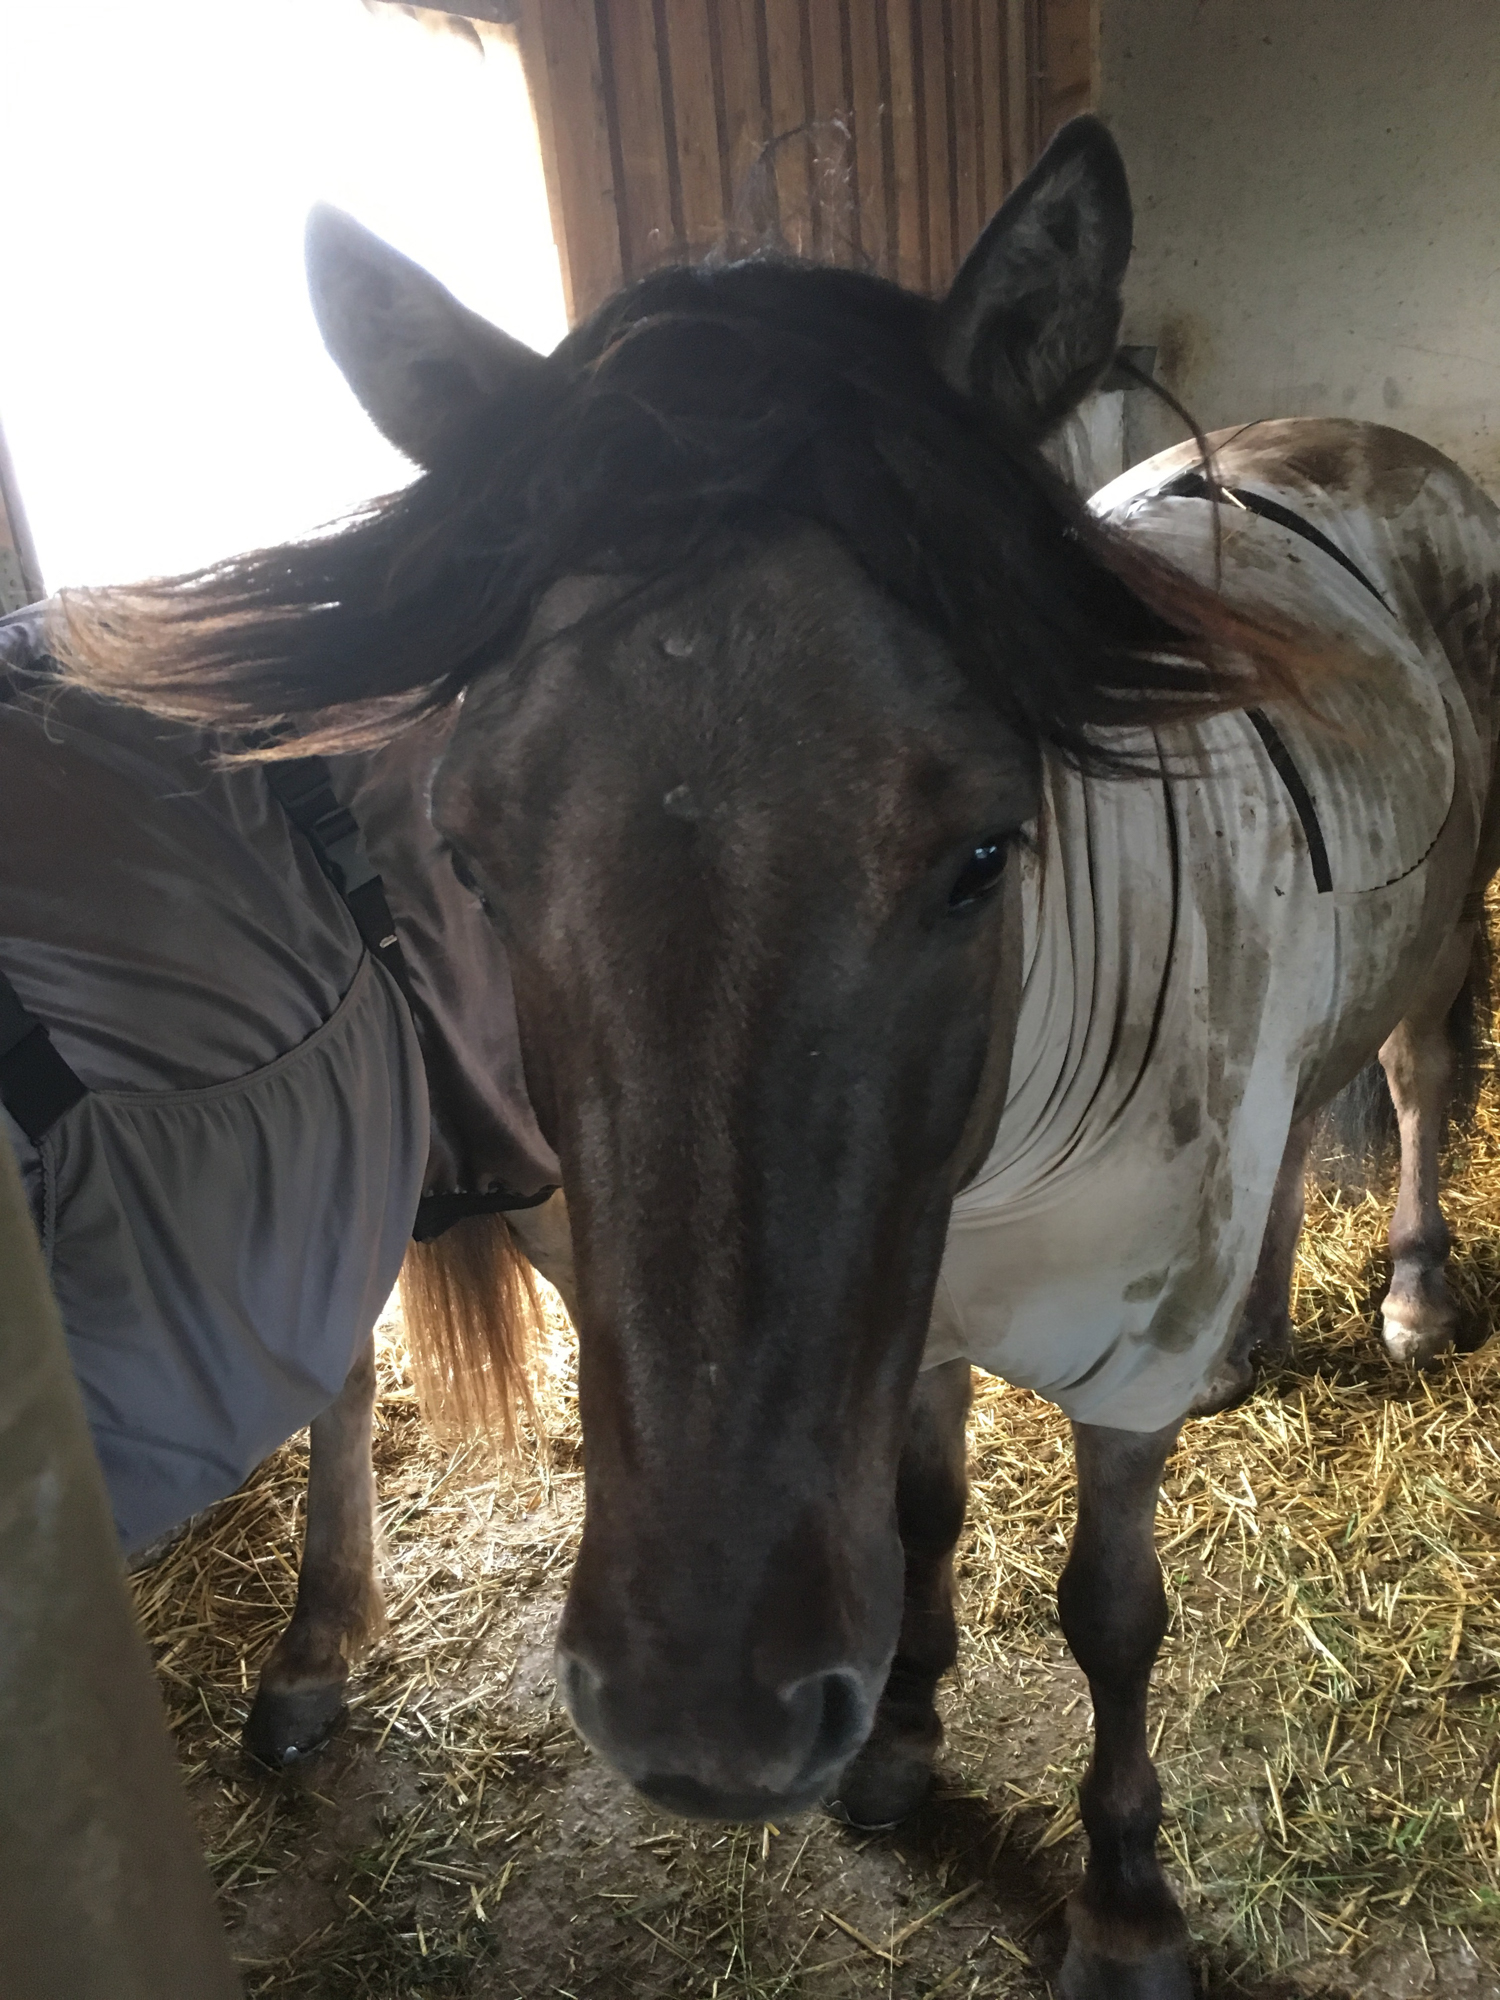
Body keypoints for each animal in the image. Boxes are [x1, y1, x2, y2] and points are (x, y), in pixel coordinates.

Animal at [47, 114, 1500, 1998]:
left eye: (984, 849)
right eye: (474, 856)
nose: (706, 1720)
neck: (1003, 1155)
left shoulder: (1109, 1360)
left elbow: (1111, 1617)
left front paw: (1124, 1899)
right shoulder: (922, 1322)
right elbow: (926, 1512)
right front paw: (903, 1738)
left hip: (1443, 922)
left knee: (1408, 1079)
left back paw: (1409, 1293)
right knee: (1316, 1093)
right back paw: (1250, 1336)